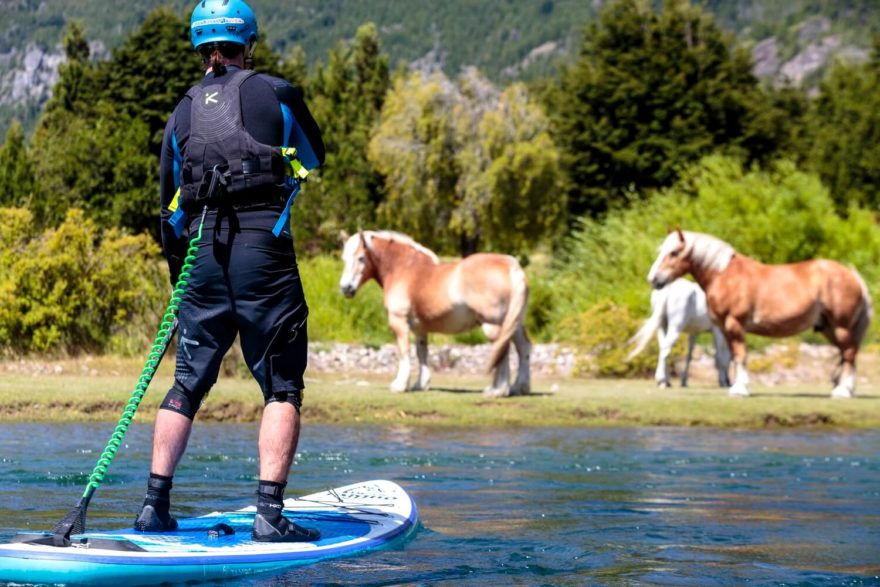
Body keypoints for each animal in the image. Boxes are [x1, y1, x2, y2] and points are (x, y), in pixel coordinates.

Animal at [336, 232, 528, 398]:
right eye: (344, 259)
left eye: (361, 258)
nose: (345, 288)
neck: (404, 269)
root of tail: (511, 266)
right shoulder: (420, 328)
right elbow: (422, 353)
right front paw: (421, 384)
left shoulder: (399, 322)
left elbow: (404, 351)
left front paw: (399, 385)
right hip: (514, 324)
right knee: (523, 349)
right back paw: (518, 388)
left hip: (492, 325)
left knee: (502, 350)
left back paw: (497, 391)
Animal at [648, 230, 868, 400]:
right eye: (661, 251)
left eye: (674, 252)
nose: (653, 279)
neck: (725, 275)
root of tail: (852, 275)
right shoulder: (723, 328)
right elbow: (731, 357)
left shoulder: (734, 324)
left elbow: (739, 355)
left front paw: (739, 389)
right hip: (828, 328)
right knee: (847, 353)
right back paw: (845, 388)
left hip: (841, 326)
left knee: (849, 353)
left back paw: (843, 391)